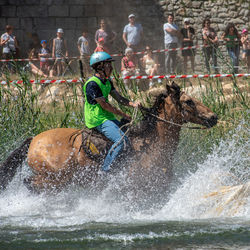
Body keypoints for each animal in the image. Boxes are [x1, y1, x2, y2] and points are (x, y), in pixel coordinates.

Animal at [0, 82, 217, 193]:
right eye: (188, 101)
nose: (213, 117)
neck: (152, 146)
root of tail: (34, 140)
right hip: (55, 176)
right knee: (33, 183)